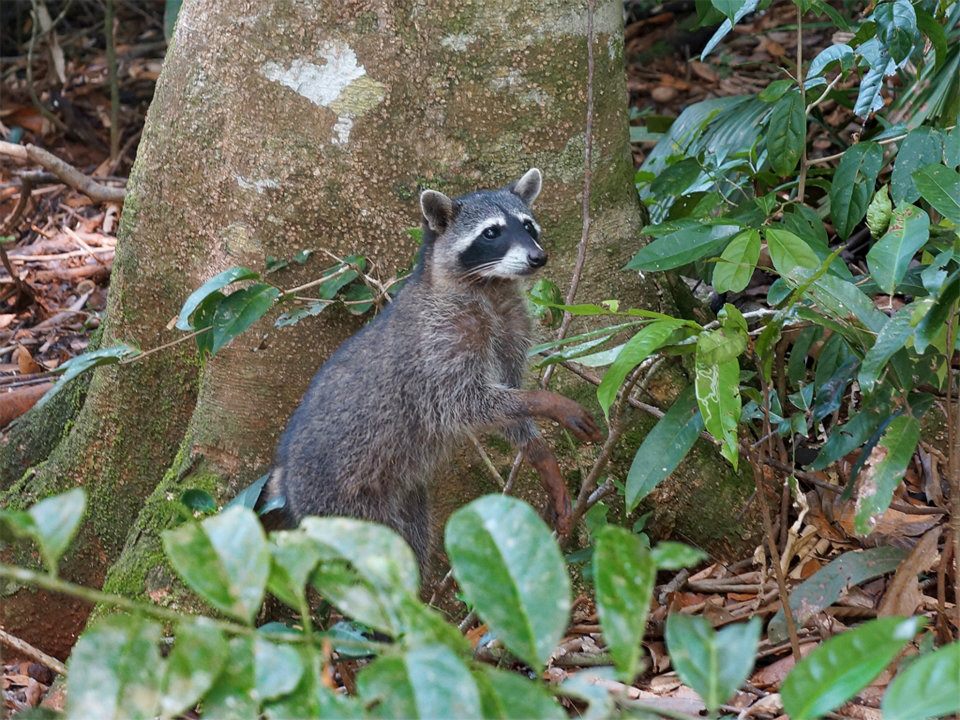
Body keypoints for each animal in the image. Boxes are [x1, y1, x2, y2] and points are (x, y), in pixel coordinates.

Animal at [264, 170, 600, 568]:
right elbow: (468, 402)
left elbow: (506, 401)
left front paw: (538, 451)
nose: (538, 257)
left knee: (411, 545)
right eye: (492, 232)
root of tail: (287, 483)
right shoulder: (440, 343)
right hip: (340, 503)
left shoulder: (512, 327)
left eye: (528, 225)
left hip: (403, 499)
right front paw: (547, 402)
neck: (491, 288)